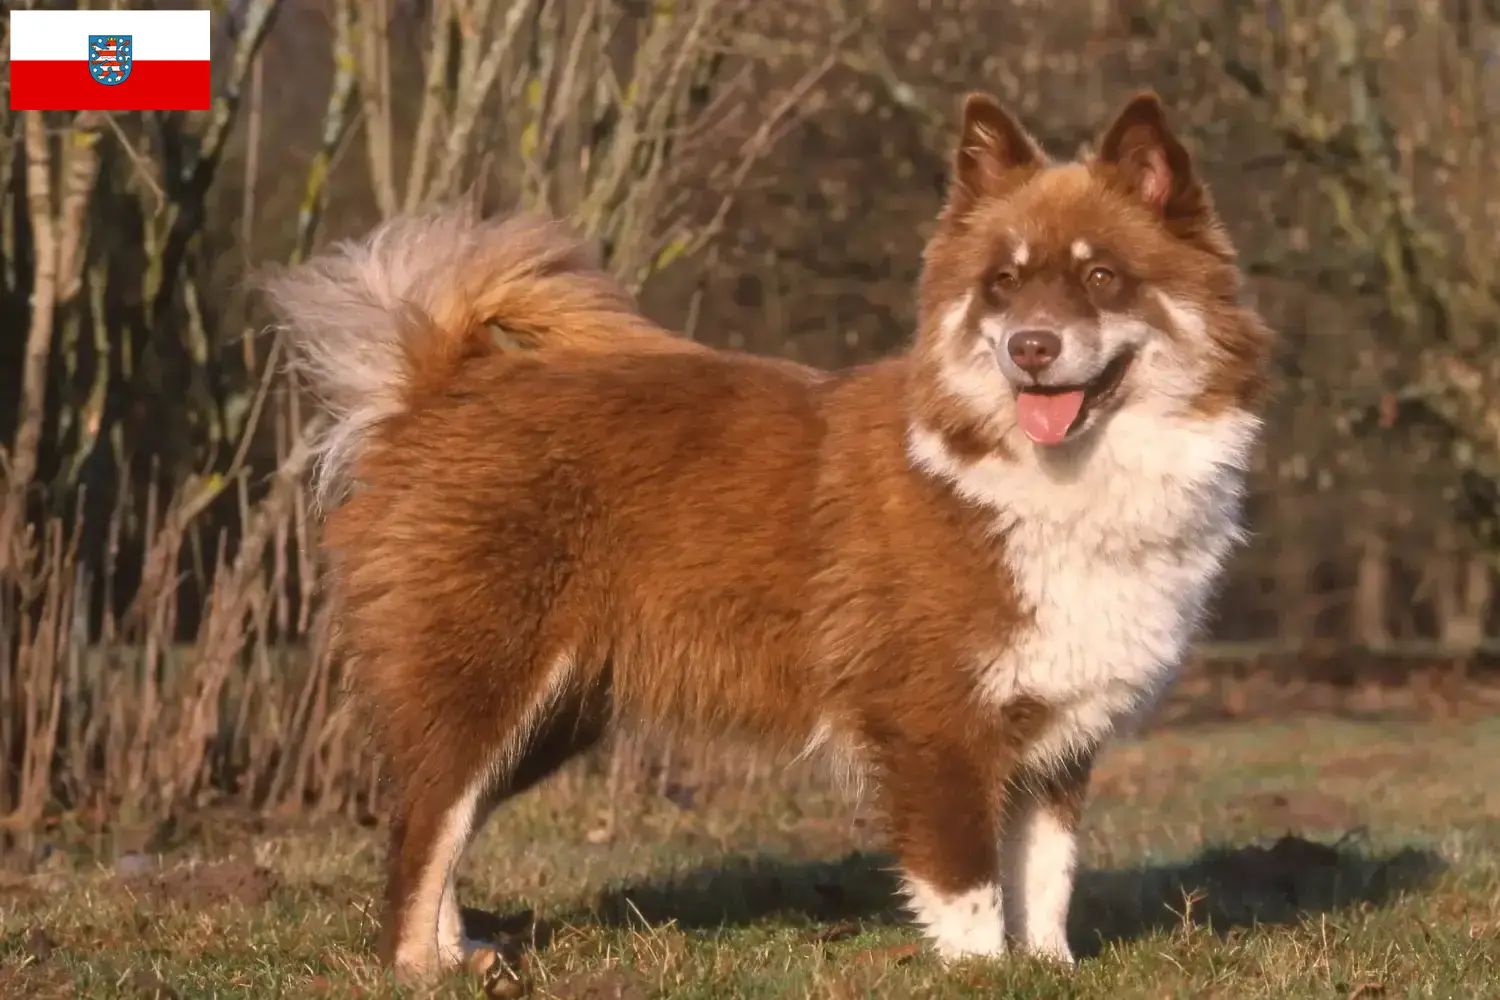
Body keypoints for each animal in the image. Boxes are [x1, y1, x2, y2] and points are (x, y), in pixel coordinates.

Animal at [264, 91, 1272, 977]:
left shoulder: (1057, 735)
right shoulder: (933, 726)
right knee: (420, 828)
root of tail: (442, 384)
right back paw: (415, 967)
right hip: (483, 678)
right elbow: (971, 888)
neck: (1041, 481)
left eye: (1102, 276)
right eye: (1004, 284)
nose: (1030, 347)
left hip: (549, 713)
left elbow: (1046, 879)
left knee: (449, 819)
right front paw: (985, 975)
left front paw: (1052, 969)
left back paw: (458, 953)